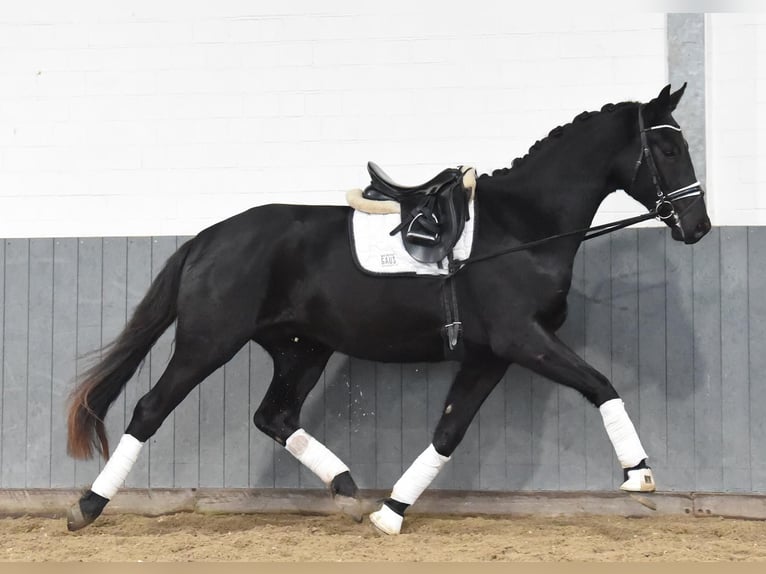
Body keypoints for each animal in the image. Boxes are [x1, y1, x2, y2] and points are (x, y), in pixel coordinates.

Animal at [65, 84, 710, 535]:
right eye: (667, 146)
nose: (697, 226)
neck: (524, 227)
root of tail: (209, 237)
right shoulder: (521, 339)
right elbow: (600, 384)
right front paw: (639, 474)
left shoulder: (490, 354)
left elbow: (449, 430)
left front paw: (392, 513)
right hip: (209, 343)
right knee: (149, 409)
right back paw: (87, 507)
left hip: (301, 350)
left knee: (275, 417)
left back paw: (352, 493)